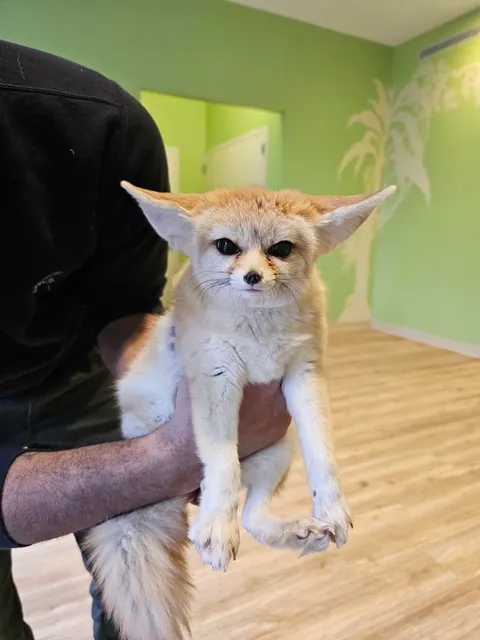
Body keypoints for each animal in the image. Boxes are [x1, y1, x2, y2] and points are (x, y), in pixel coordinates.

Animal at [82, 182, 396, 640]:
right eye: (227, 246)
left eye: (280, 249)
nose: (251, 277)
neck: (258, 330)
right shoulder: (217, 378)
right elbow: (223, 466)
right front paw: (217, 526)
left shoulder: (303, 375)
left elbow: (323, 455)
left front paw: (332, 508)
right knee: (219, 491)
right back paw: (210, 517)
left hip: (280, 452)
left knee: (252, 515)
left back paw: (293, 531)